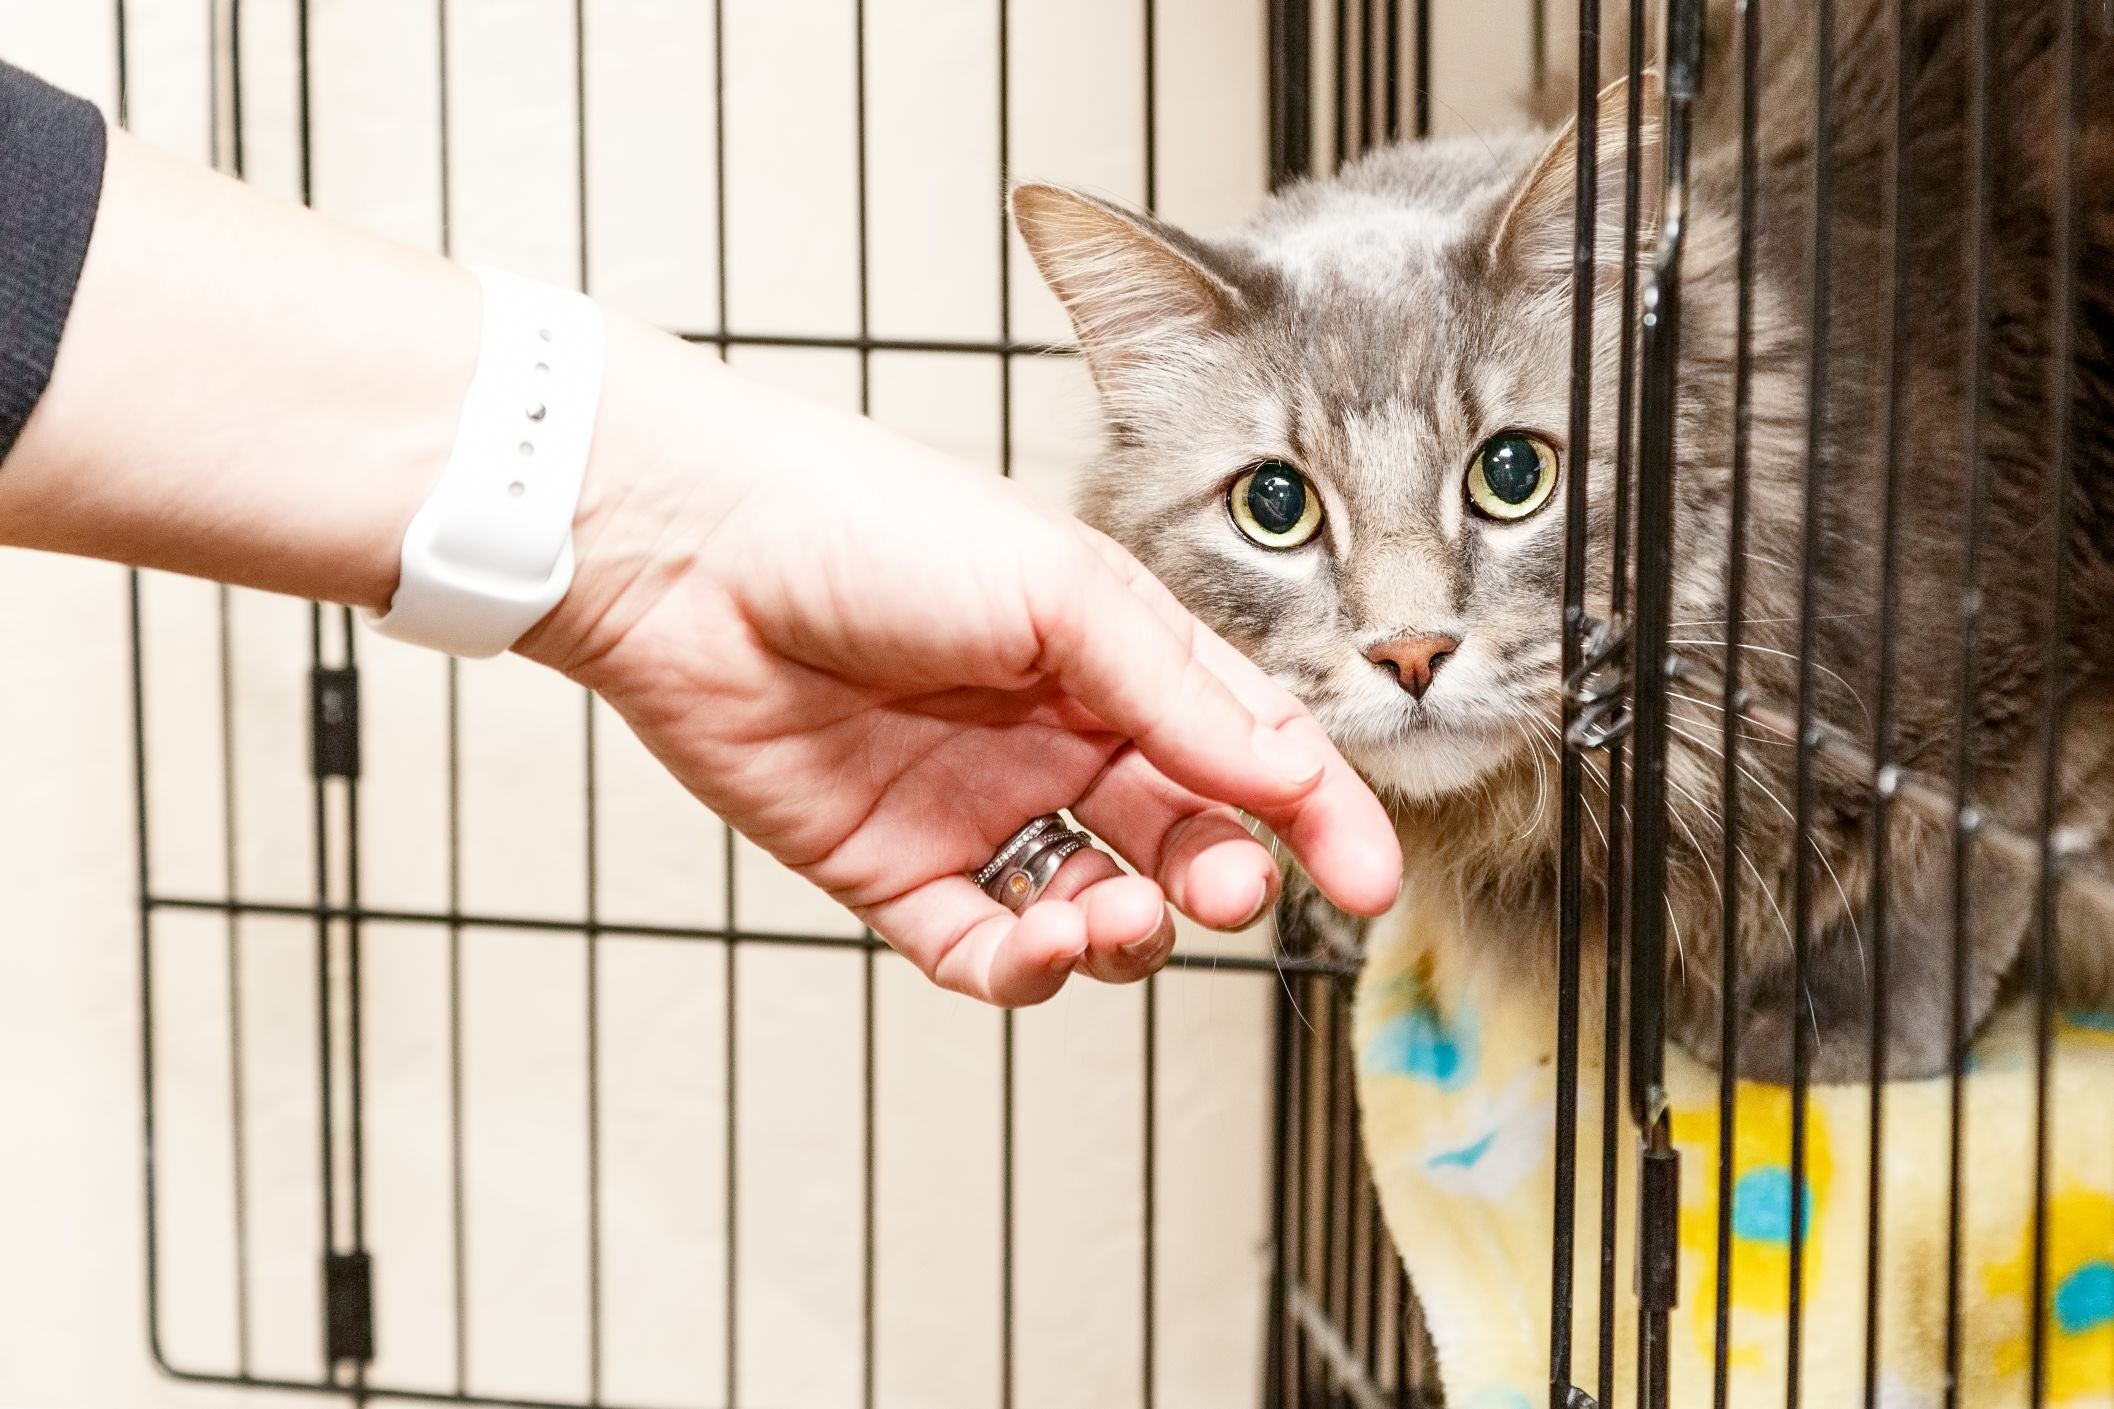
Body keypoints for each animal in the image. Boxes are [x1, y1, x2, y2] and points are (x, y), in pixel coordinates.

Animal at [1006, 0, 2114, 1090]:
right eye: (1274, 503)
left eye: (1511, 474)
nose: (1411, 653)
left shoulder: (2024, 678)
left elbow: (1946, 873)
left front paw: (1825, 1036)